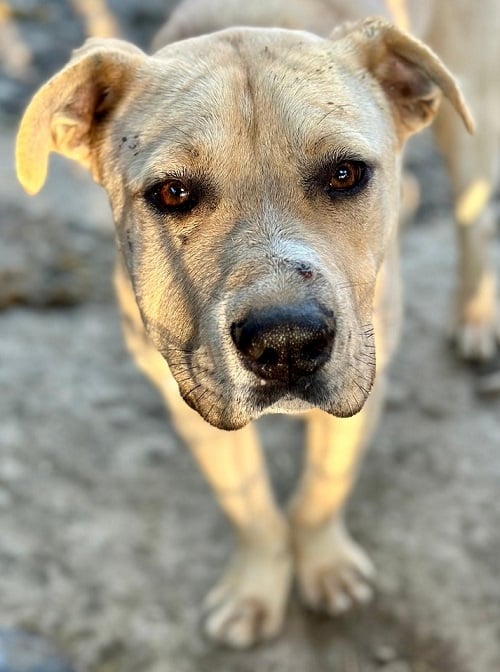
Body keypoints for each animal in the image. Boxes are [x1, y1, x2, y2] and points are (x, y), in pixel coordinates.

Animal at [15, 0, 498, 649]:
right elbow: (250, 510)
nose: (287, 343)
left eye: (345, 174)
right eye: (173, 192)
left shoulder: (365, 377)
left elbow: (321, 490)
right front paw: (255, 589)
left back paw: (475, 315)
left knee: (473, 220)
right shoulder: (190, 399)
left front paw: (326, 568)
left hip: (472, 117)